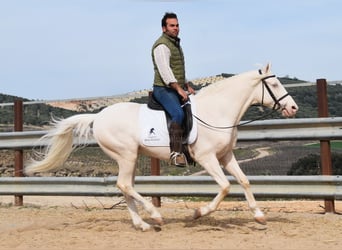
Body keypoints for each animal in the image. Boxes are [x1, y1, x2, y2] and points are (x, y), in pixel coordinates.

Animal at [24, 63, 296, 231]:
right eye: (274, 85)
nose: (293, 108)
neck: (217, 112)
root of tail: (98, 117)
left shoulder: (226, 155)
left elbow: (244, 181)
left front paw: (259, 216)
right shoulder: (207, 158)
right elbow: (226, 187)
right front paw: (198, 213)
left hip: (131, 158)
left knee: (126, 187)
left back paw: (142, 224)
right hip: (126, 155)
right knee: (124, 185)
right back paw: (154, 216)